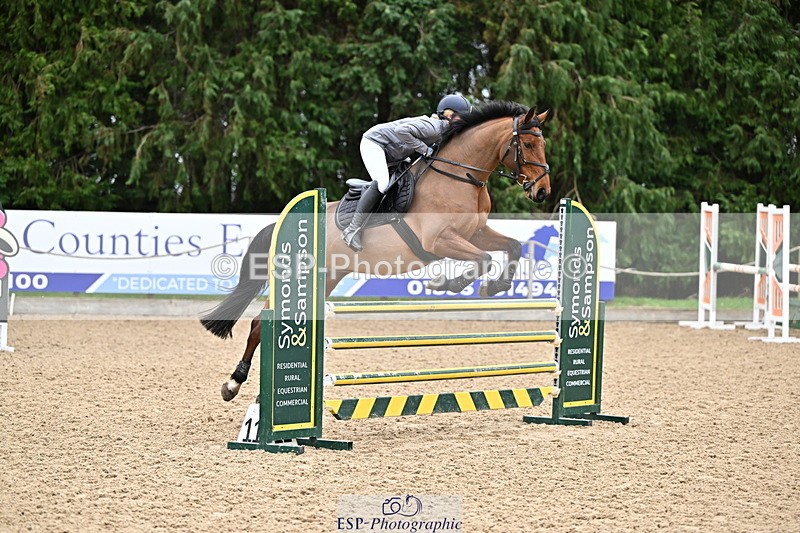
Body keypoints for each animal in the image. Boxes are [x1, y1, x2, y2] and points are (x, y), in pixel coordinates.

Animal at [201, 101, 551, 401]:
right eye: (528, 145)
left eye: (543, 143)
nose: (542, 192)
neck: (461, 176)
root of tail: (283, 224)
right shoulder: (439, 241)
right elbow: (483, 259)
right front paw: (448, 283)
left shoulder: (476, 233)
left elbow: (512, 246)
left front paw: (496, 285)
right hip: (299, 278)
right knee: (260, 324)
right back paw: (233, 383)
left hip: (325, 278)